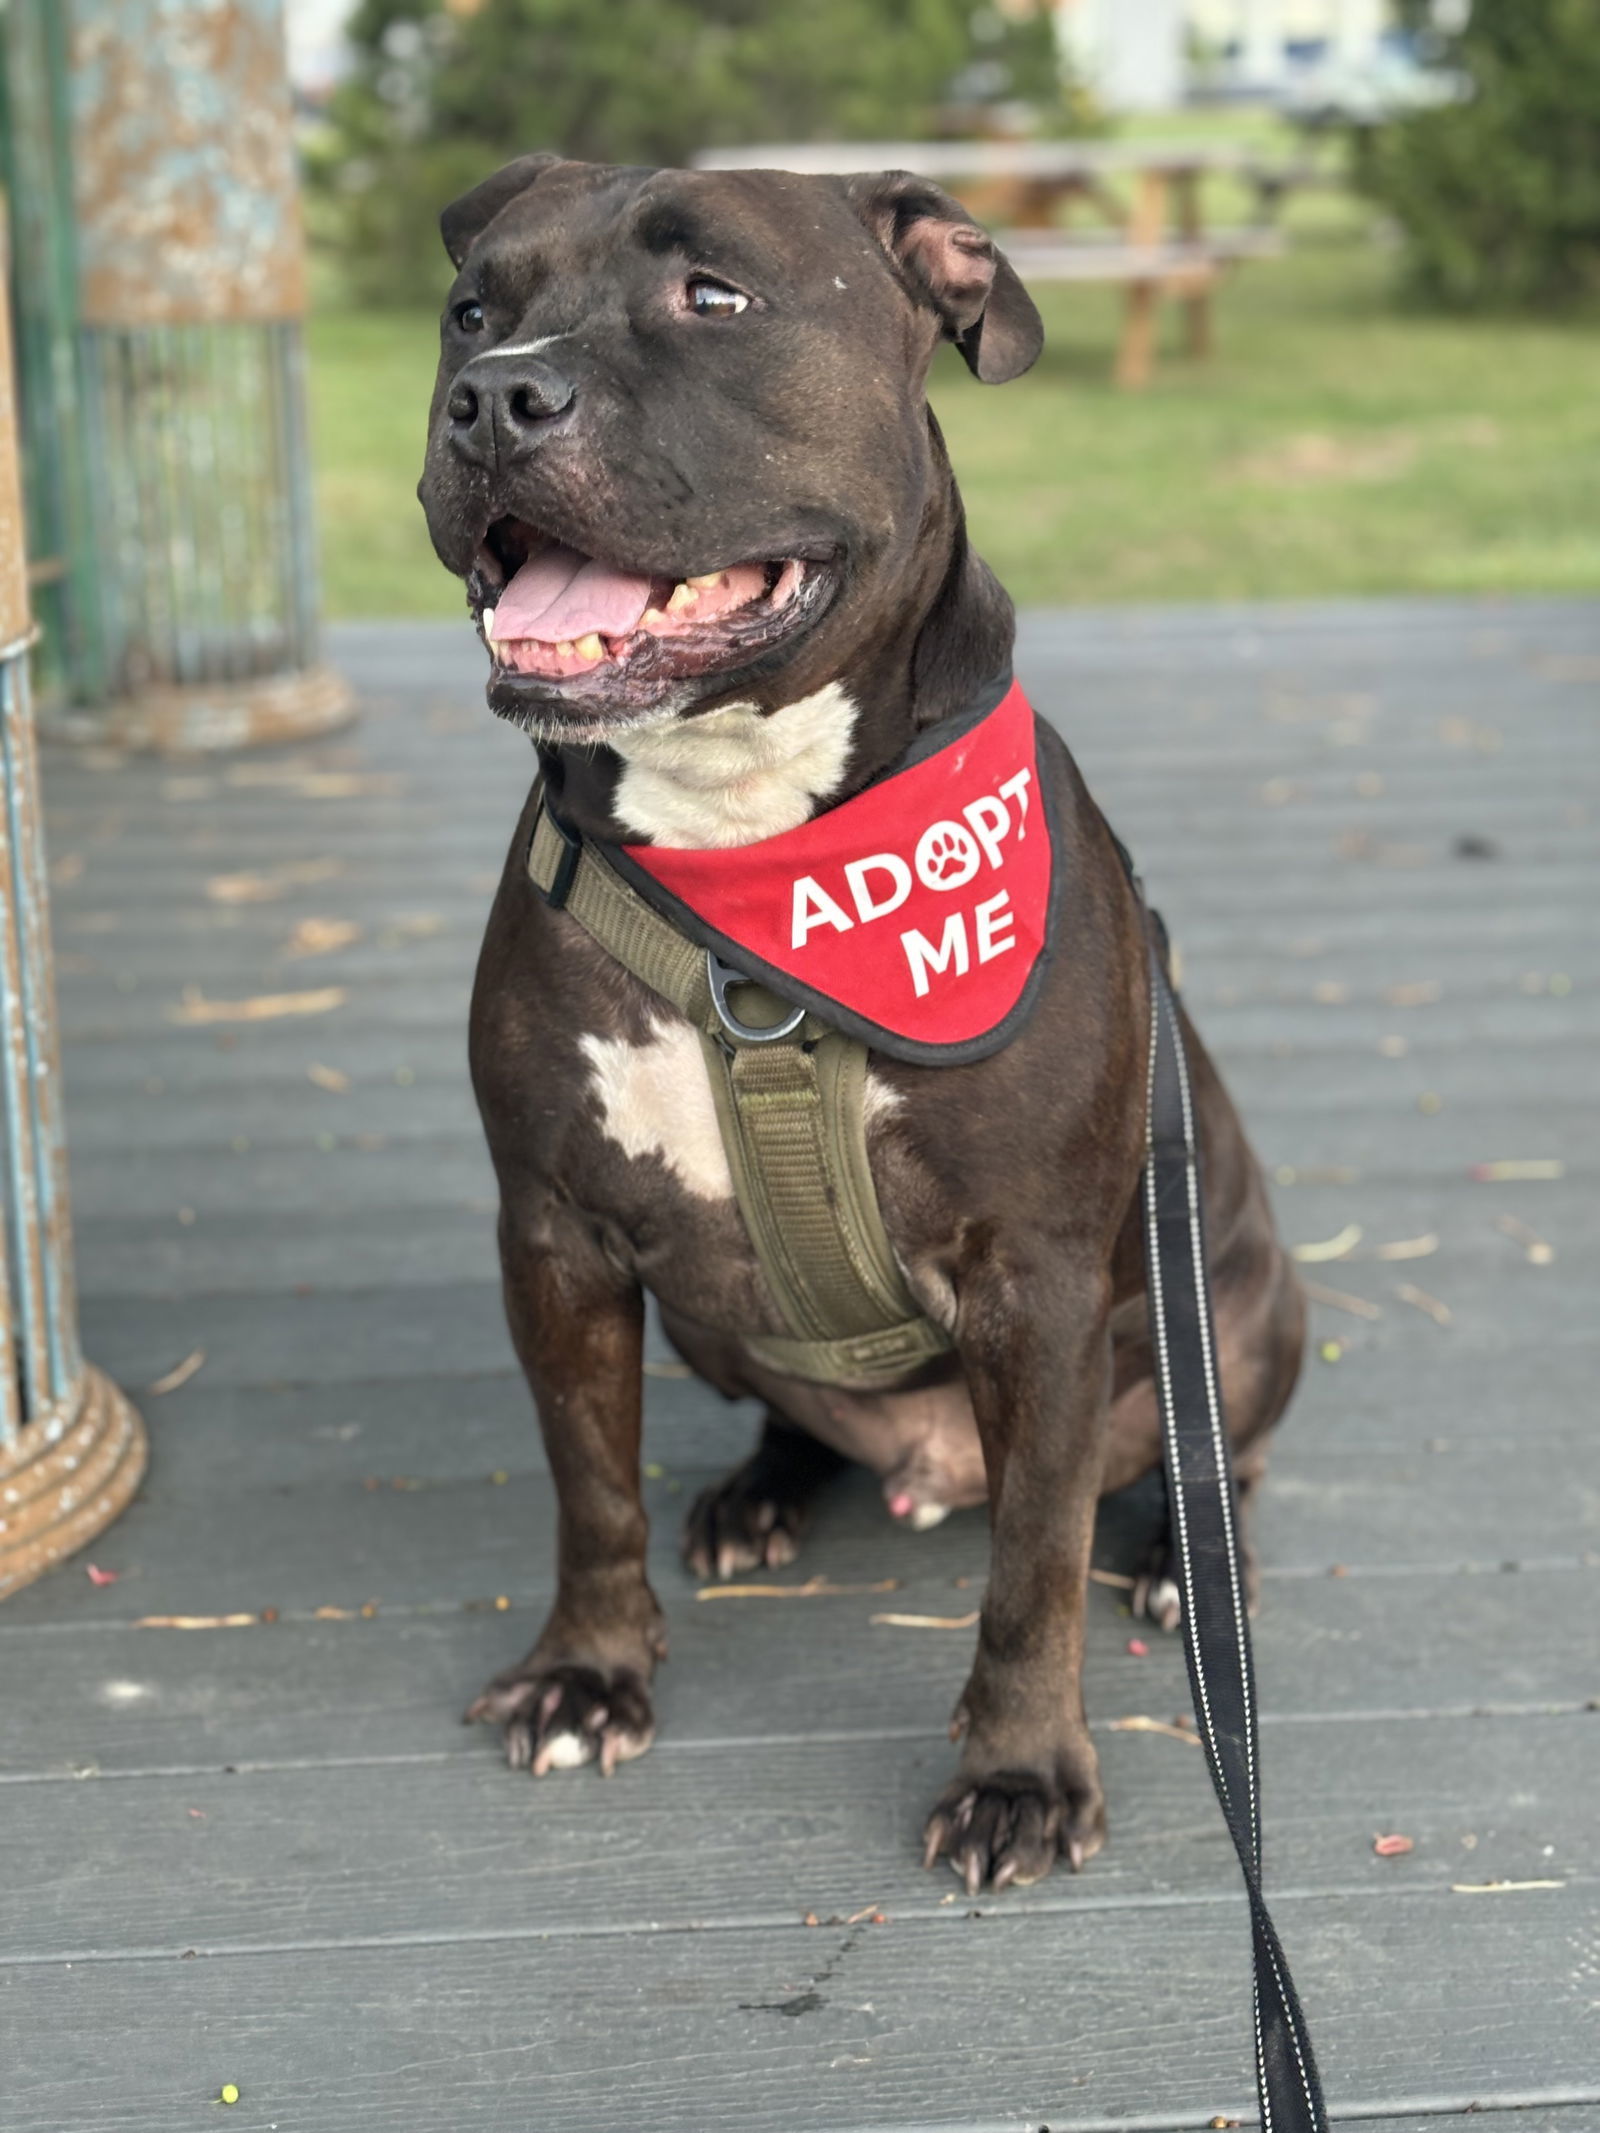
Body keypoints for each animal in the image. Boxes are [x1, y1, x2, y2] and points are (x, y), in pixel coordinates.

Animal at [416, 150, 1305, 1894]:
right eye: (472, 307)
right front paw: (589, 1672)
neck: (753, 857)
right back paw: (765, 1492)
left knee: (1197, 1450)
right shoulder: (555, 1231)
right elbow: (587, 1487)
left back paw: (1184, 1556)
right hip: (709, 1318)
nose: (492, 396)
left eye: (713, 297)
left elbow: (1032, 1569)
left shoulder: (1037, 1281)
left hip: (1243, 1303)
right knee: (788, 1414)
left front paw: (1021, 1774)